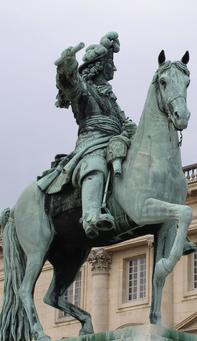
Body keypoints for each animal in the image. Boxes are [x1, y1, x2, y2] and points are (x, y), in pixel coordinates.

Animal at [0, 48, 192, 340]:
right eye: (163, 82)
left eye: (187, 81)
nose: (182, 116)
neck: (151, 158)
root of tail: (14, 207)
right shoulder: (143, 209)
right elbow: (186, 211)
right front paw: (69, 58)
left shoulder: (164, 226)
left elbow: (160, 274)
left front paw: (157, 319)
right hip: (38, 249)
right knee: (25, 290)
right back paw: (42, 333)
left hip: (71, 253)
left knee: (51, 295)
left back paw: (88, 325)